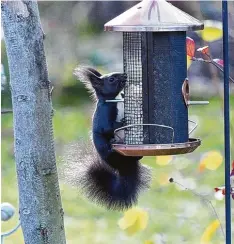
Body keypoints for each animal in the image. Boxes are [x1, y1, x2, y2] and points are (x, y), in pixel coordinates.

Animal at [73, 66, 151, 210]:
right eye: (111, 79)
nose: (125, 75)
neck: (115, 99)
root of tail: (123, 166)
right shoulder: (105, 115)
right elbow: (109, 127)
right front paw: (125, 122)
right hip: (112, 152)